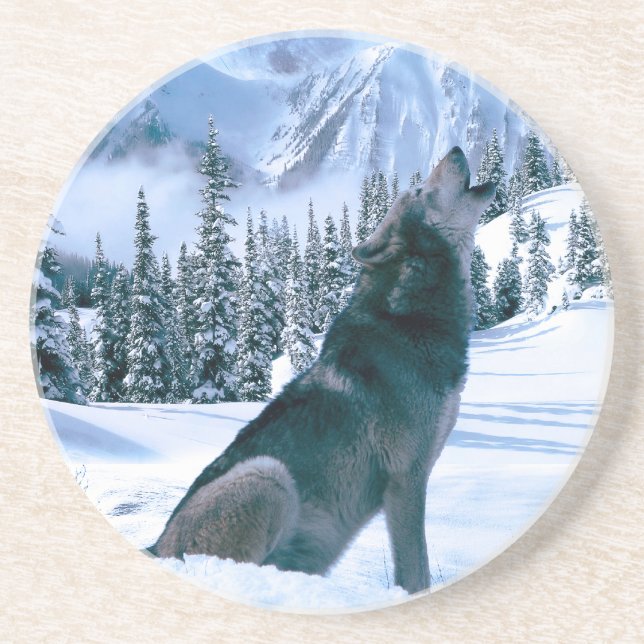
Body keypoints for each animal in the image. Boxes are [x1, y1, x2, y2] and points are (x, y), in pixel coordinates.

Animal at [150, 147, 495, 595]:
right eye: (420, 190)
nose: (454, 149)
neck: (409, 320)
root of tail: (155, 547)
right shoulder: (406, 478)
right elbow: (415, 573)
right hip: (269, 476)